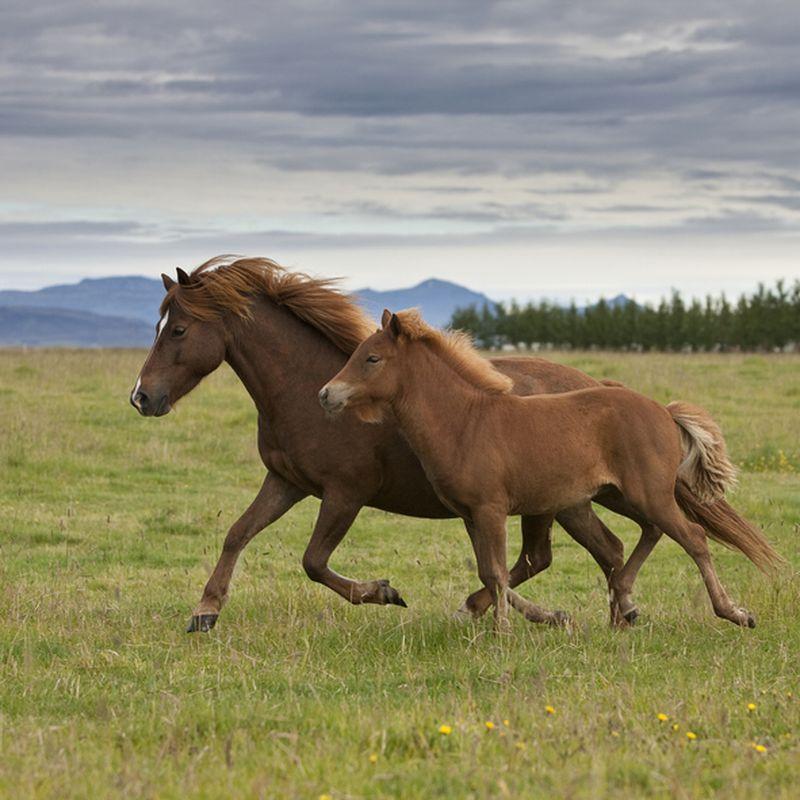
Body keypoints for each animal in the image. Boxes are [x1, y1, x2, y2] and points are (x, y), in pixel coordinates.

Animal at [320, 310, 780, 628]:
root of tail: (664, 412)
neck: (465, 420)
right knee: (647, 534)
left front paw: (502, 632)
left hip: (646, 494)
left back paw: (733, 613)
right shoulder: (470, 515)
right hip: (619, 494)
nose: (326, 395)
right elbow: (489, 572)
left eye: (372, 358)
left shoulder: (491, 510)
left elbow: (498, 572)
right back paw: (623, 607)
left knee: (693, 538)